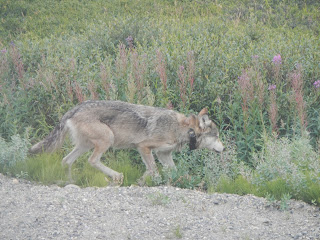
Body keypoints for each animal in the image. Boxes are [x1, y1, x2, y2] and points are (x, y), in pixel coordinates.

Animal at [30, 100, 225, 185]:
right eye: (217, 136)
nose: (224, 149)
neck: (183, 129)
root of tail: (75, 108)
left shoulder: (163, 154)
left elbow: (169, 171)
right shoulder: (144, 147)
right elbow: (154, 171)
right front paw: (151, 183)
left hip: (85, 146)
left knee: (66, 161)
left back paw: (71, 182)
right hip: (106, 139)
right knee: (92, 161)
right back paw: (116, 176)